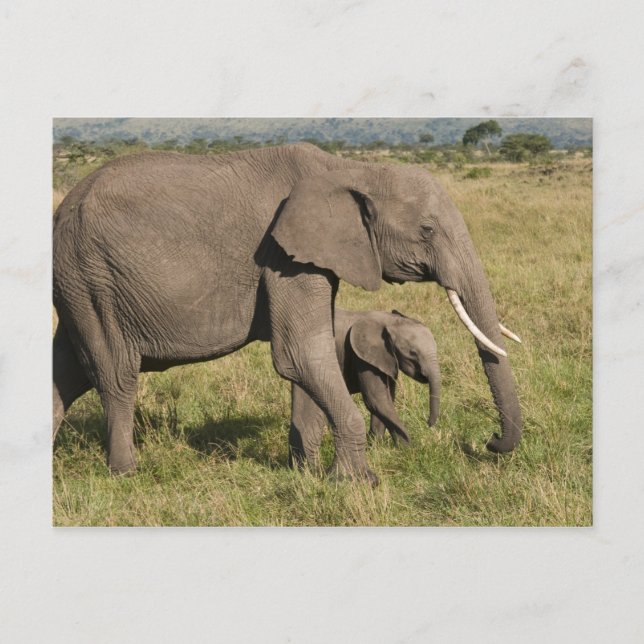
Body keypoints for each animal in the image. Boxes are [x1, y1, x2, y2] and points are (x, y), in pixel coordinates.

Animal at [289, 308, 441, 467]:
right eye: (413, 353)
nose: (428, 423)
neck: (389, 320)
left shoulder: (385, 359)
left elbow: (386, 399)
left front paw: (375, 448)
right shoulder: (362, 356)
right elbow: (375, 399)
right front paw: (408, 450)